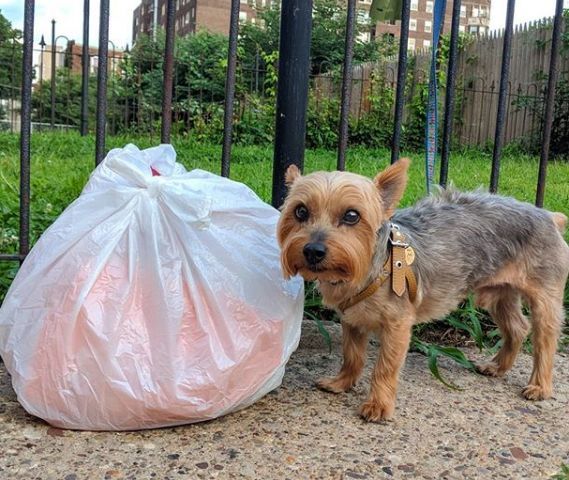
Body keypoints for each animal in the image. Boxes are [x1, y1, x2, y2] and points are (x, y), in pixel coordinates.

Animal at [276, 158, 568, 420]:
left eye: (351, 215)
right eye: (300, 211)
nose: (313, 250)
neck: (371, 265)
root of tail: (549, 216)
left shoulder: (397, 324)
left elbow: (385, 366)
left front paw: (378, 406)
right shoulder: (352, 319)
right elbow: (352, 355)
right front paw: (342, 382)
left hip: (545, 297)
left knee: (544, 339)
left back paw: (540, 386)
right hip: (498, 293)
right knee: (517, 327)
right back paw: (497, 366)